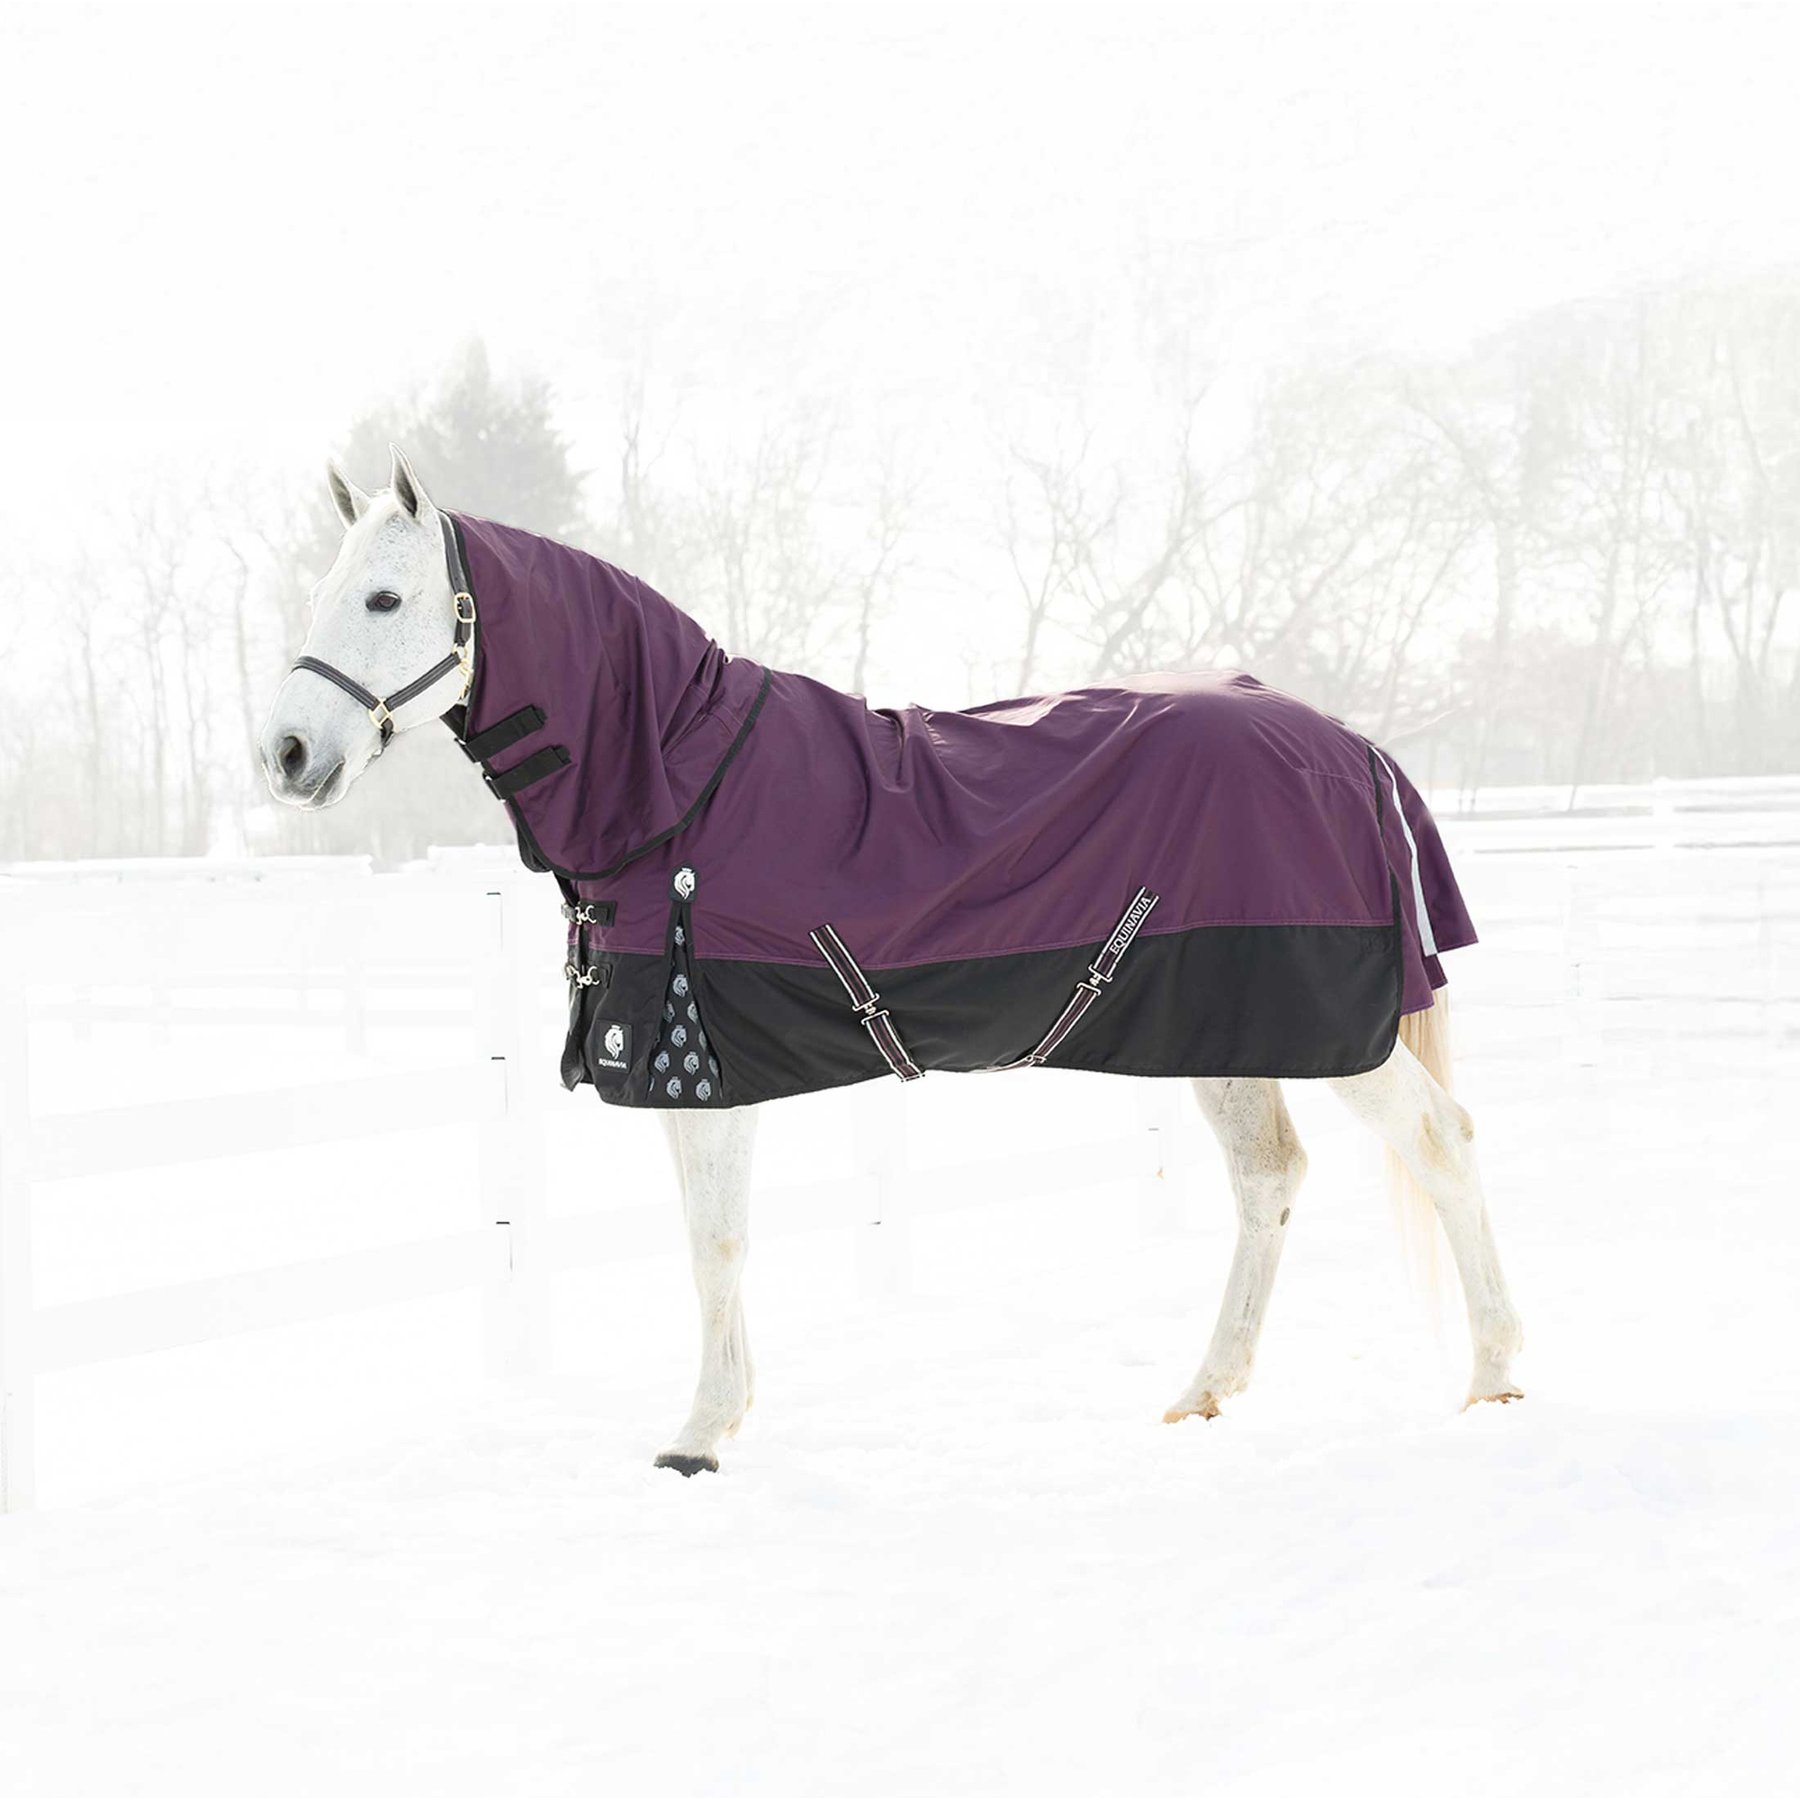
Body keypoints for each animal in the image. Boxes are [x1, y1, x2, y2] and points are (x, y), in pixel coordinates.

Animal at [260, 446, 1523, 1475]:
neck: (682, 787)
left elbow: (716, 1245)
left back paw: (1495, 1380)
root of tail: (1351, 747)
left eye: (385, 596)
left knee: (1445, 1143)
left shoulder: (703, 1073)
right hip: (1228, 1032)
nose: (284, 753)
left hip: (1335, 1034)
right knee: (1269, 1180)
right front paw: (726, 1411)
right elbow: (709, 1243)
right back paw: (1206, 1392)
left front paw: (698, 1436)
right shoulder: (691, 1078)